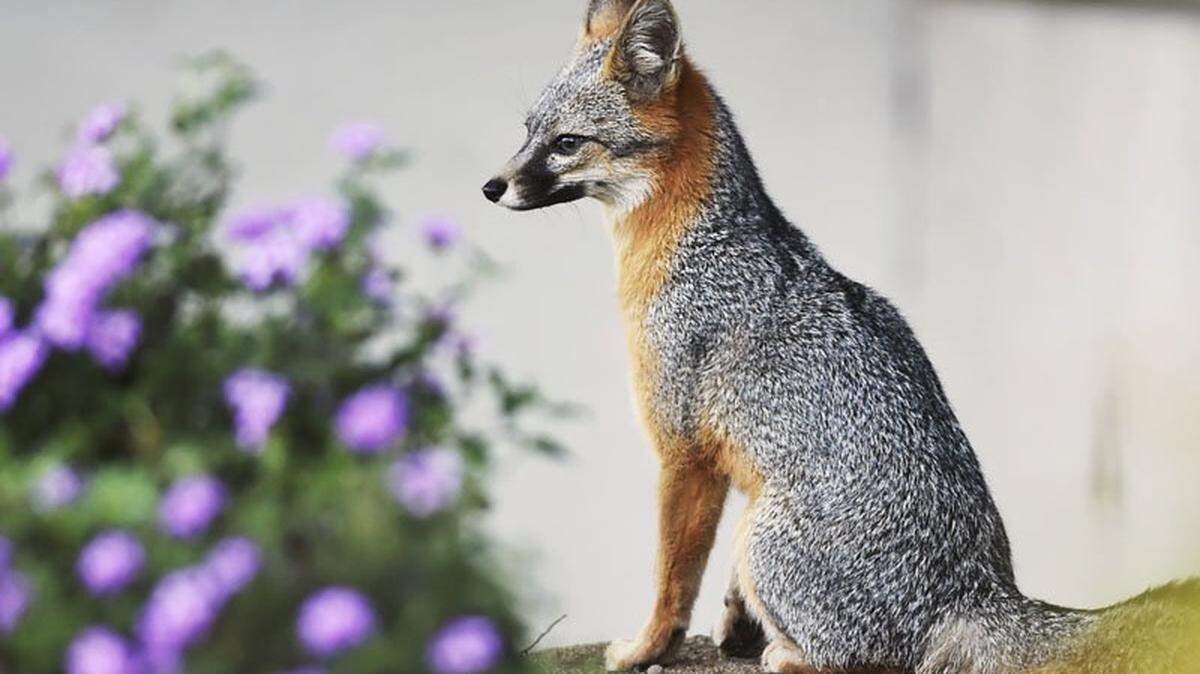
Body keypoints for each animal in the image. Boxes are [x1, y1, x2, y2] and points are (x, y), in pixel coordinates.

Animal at [483, 1, 1200, 672]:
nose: (491, 186)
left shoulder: (684, 456)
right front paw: (735, 627)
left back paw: (787, 653)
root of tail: (982, 591)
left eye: (567, 142)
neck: (698, 244)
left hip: (760, 532)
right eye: (527, 133)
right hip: (757, 521)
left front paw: (645, 648)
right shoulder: (733, 467)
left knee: (868, 660)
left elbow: (671, 582)